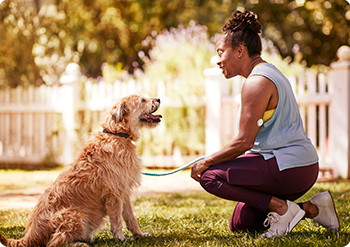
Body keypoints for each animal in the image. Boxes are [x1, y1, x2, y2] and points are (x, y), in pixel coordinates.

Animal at [0, 95, 161, 247]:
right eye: (143, 100)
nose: (159, 99)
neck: (117, 133)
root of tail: (30, 235)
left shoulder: (124, 192)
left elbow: (130, 217)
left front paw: (139, 234)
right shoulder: (113, 194)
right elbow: (116, 221)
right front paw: (121, 239)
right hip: (74, 215)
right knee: (54, 242)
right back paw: (79, 243)